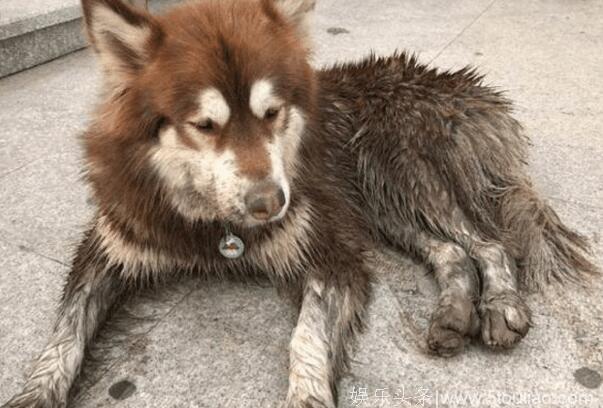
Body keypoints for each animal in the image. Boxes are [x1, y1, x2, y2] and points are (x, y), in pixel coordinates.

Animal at [3, 0, 600, 408]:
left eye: (272, 113)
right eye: (204, 125)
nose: (271, 203)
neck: (207, 221)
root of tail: (473, 93)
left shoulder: (332, 251)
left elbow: (306, 339)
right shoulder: (109, 246)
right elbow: (64, 333)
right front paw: (35, 393)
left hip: (393, 166)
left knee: (489, 242)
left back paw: (499, 305)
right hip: (379, 200)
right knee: (452, 251)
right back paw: (454, 312)